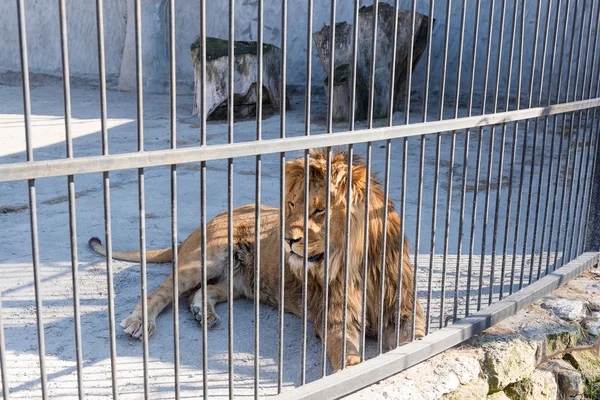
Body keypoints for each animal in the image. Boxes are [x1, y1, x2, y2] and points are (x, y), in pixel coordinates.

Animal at [90, 148, 426, 370]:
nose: (288, 240)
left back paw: (203, 313)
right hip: (204, 260)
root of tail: (209, 220)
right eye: (291, 205)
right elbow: (348, 357)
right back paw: (138, 322)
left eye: (319, 210)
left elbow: (415, 339)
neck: (356, 261)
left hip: (239, 282)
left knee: (202, 292)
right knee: (159, 293)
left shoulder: (405, 310)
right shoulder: (333, 318)